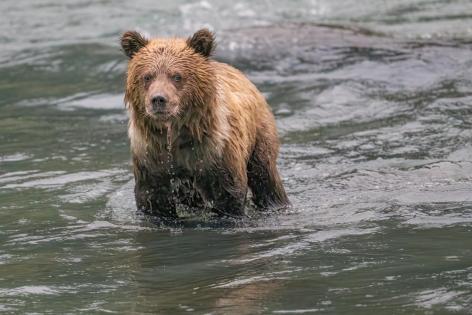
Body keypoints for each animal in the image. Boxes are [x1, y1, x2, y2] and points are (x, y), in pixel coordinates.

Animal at [120, 28, 290, 218]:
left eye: (177, 76)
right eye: (147, 76)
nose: (158, 99)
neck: (175, 135)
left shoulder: (215, 153)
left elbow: (228, 195)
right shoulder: (151, 158)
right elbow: (153, 198)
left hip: (259, 135)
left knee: (265, 177)